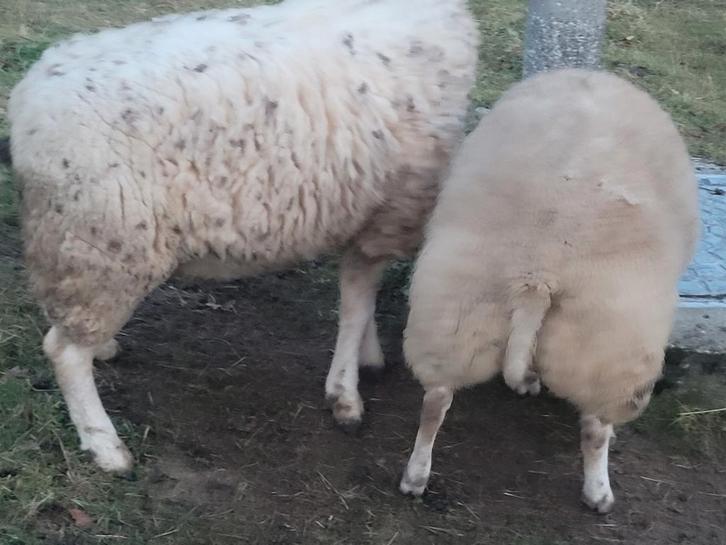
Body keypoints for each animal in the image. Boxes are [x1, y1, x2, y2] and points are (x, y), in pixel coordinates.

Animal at [6, 0, 478, 473]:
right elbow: (355, 306)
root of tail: (26, 104)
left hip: (82, 246)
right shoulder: (389, 212)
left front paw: (369, 357)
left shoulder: (365, 217)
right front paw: (345, 393)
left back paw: (102, 351)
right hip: (106, 243)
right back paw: (104, 445)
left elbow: (363, 296)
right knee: (64, 352)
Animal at [399, 68, 700, 513]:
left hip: (453, 318)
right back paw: (599, 492)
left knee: (435, 401)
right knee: (595, 428)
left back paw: (416, 476)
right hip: (612, 355)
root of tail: (537, 273)